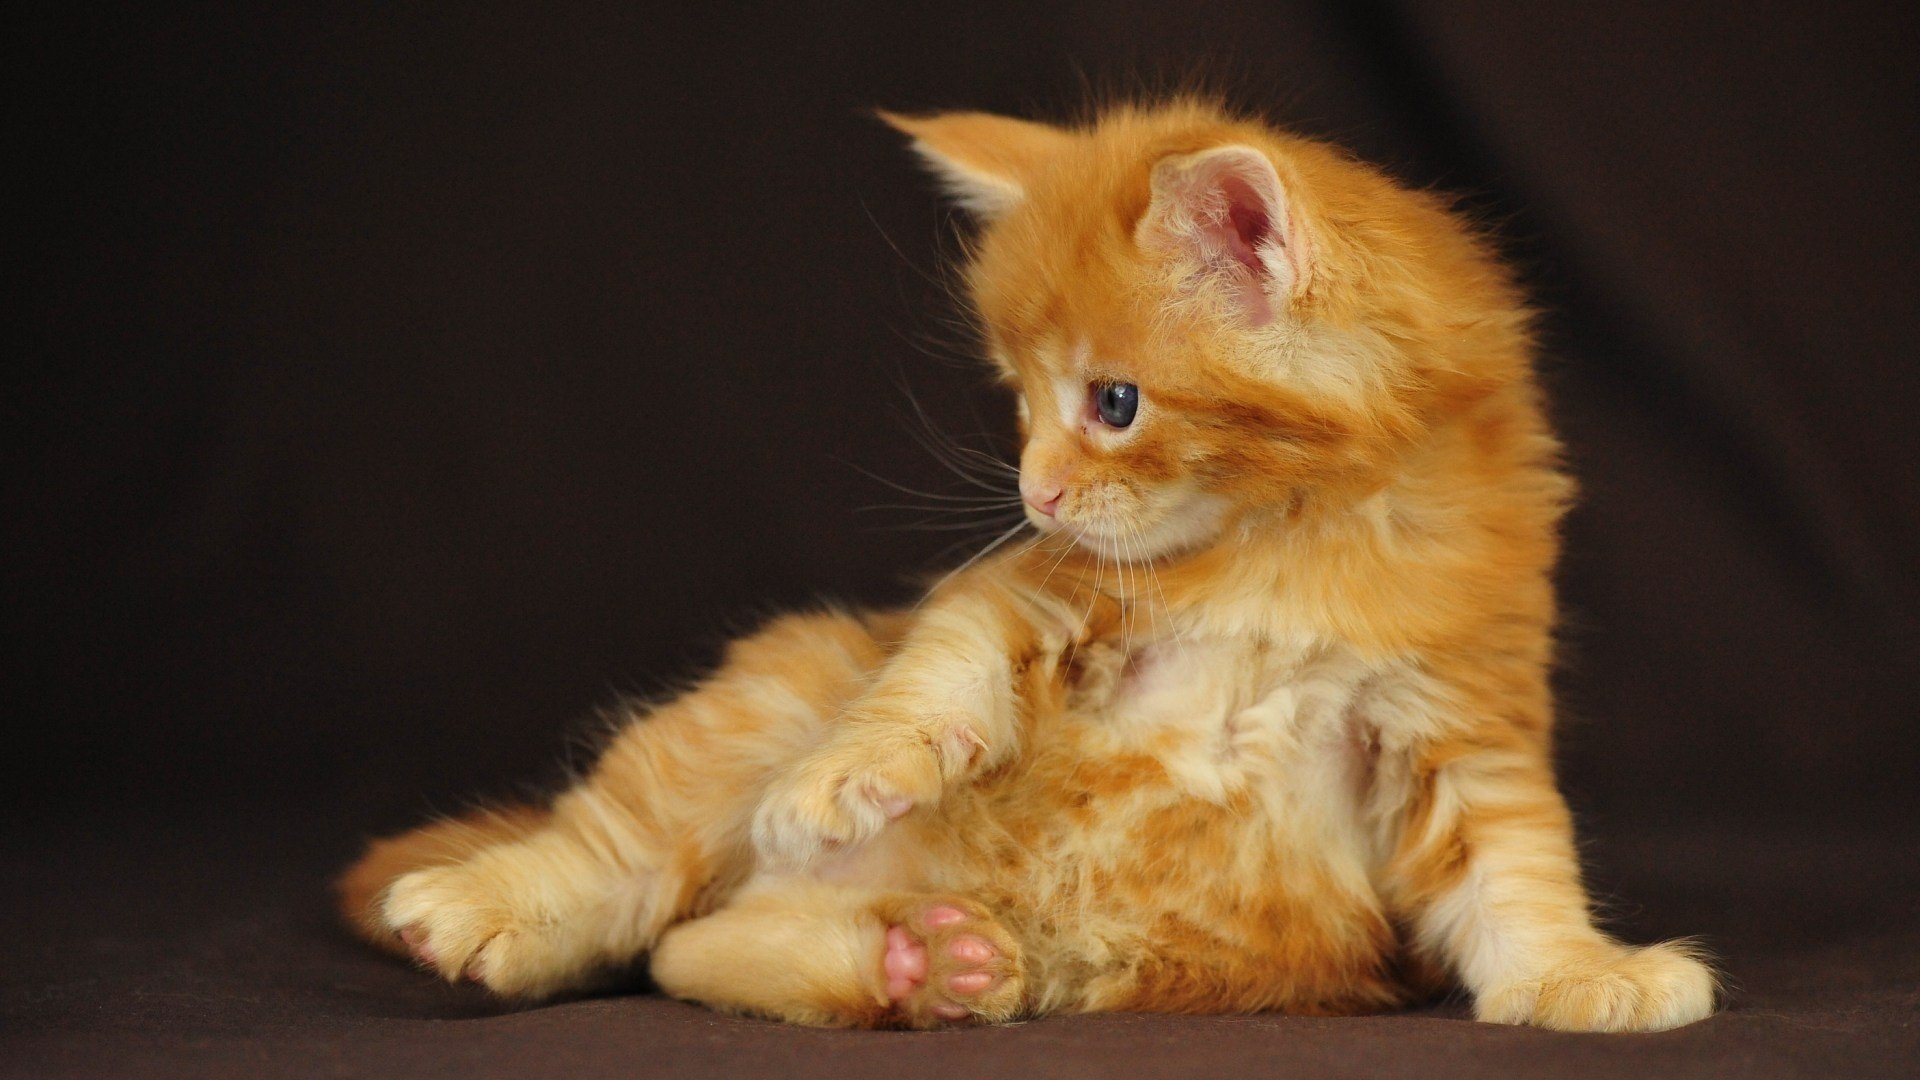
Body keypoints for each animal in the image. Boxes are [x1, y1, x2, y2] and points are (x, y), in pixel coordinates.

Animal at [341, 102, 1728, 1037]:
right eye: (1018, 405)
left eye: (1114, 403)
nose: (1034, 491)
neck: (1287, 552)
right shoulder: (1028, 591)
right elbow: (940, 669)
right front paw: (851, 773)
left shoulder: (1460, 718)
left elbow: (1515, 867)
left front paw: (1582, 974)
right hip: (777, 686)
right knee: (631, 870)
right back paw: (482, 909)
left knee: (699, 947)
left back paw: (927, 964)